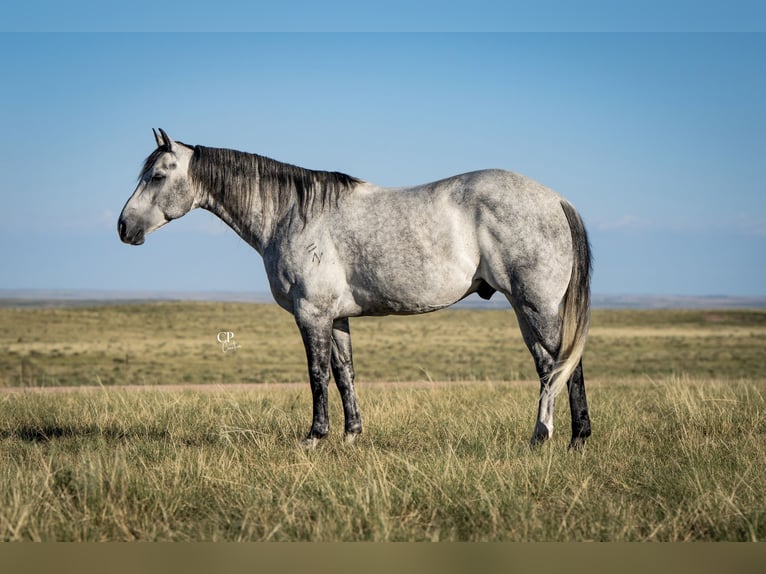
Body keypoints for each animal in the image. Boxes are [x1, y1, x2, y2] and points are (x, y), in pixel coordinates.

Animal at [118, 129, 593, 450]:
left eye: (157, 175)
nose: (124, 227)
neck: (293, 214)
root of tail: (555, 199)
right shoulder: (338, 317)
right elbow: (344, 373)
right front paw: (351, 435)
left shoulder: (312, 314)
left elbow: (316, 374)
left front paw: (314, 436)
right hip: (525, 309)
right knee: (550, 366)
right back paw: (558, 437)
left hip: (537, 306)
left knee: (562, 366)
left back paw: (562, 437)